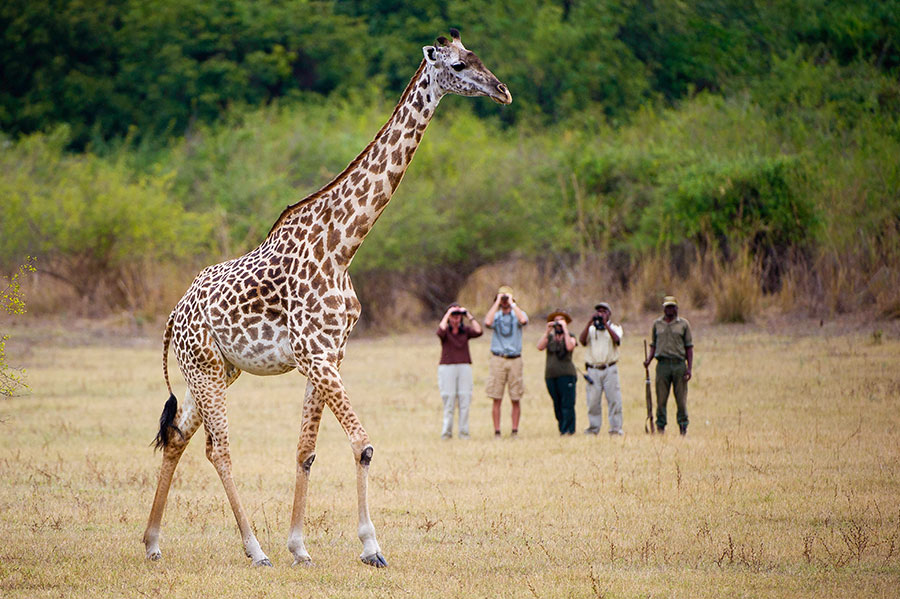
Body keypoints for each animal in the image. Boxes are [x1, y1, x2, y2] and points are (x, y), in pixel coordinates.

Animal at [139, 29, 506, 572]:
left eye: (477, 56)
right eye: (459, 66)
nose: (502, 91)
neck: (342, 245)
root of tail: (172, 315)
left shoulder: (330, 354)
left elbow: (306, 451)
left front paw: (300, 546)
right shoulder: (315, 354)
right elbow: (363, 445)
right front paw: (371, 547)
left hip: (216, 370)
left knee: (178, 437)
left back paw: (152, 542)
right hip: (204, 369)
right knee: (217, 448)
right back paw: (254, 549)